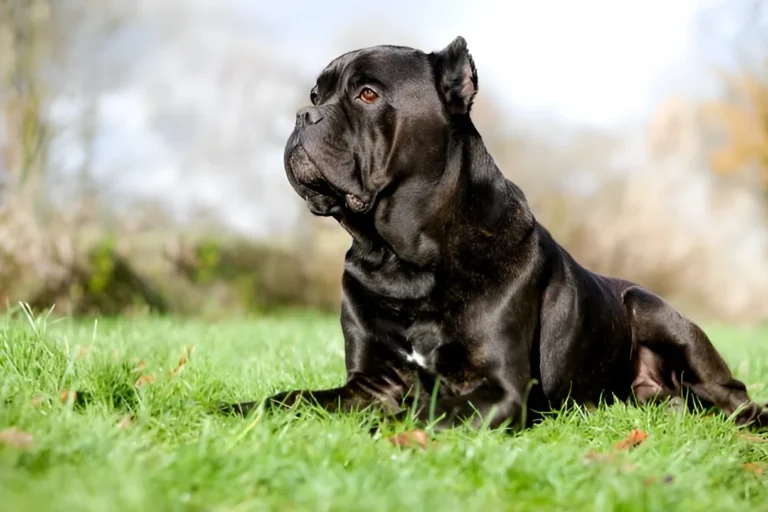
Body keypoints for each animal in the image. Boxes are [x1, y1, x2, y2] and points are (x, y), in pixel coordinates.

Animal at [228, 35, 768, 428]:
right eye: (315, 95)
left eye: (367, 94)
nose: (304, 114)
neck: (401, 258)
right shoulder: (371, 381)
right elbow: (294, 397)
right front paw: (236, 411)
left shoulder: (500, 388)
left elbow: (425, 414)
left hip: (652, 310)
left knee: (733, 394)